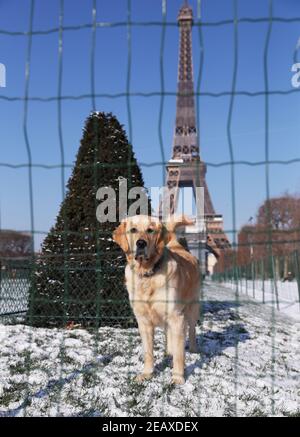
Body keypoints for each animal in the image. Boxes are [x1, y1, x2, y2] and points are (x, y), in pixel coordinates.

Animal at [113, 214, 200, 382]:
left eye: (150, 230)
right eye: (133, 230)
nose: (141, 243)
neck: (148, 274)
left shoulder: (176, 316)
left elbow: (180, 355)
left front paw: (178, 378)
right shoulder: (143, 321)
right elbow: (148, 352)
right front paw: (147, 373)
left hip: (192, 308)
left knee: (192, 330)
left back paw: (193, 349)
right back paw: (169, 351)